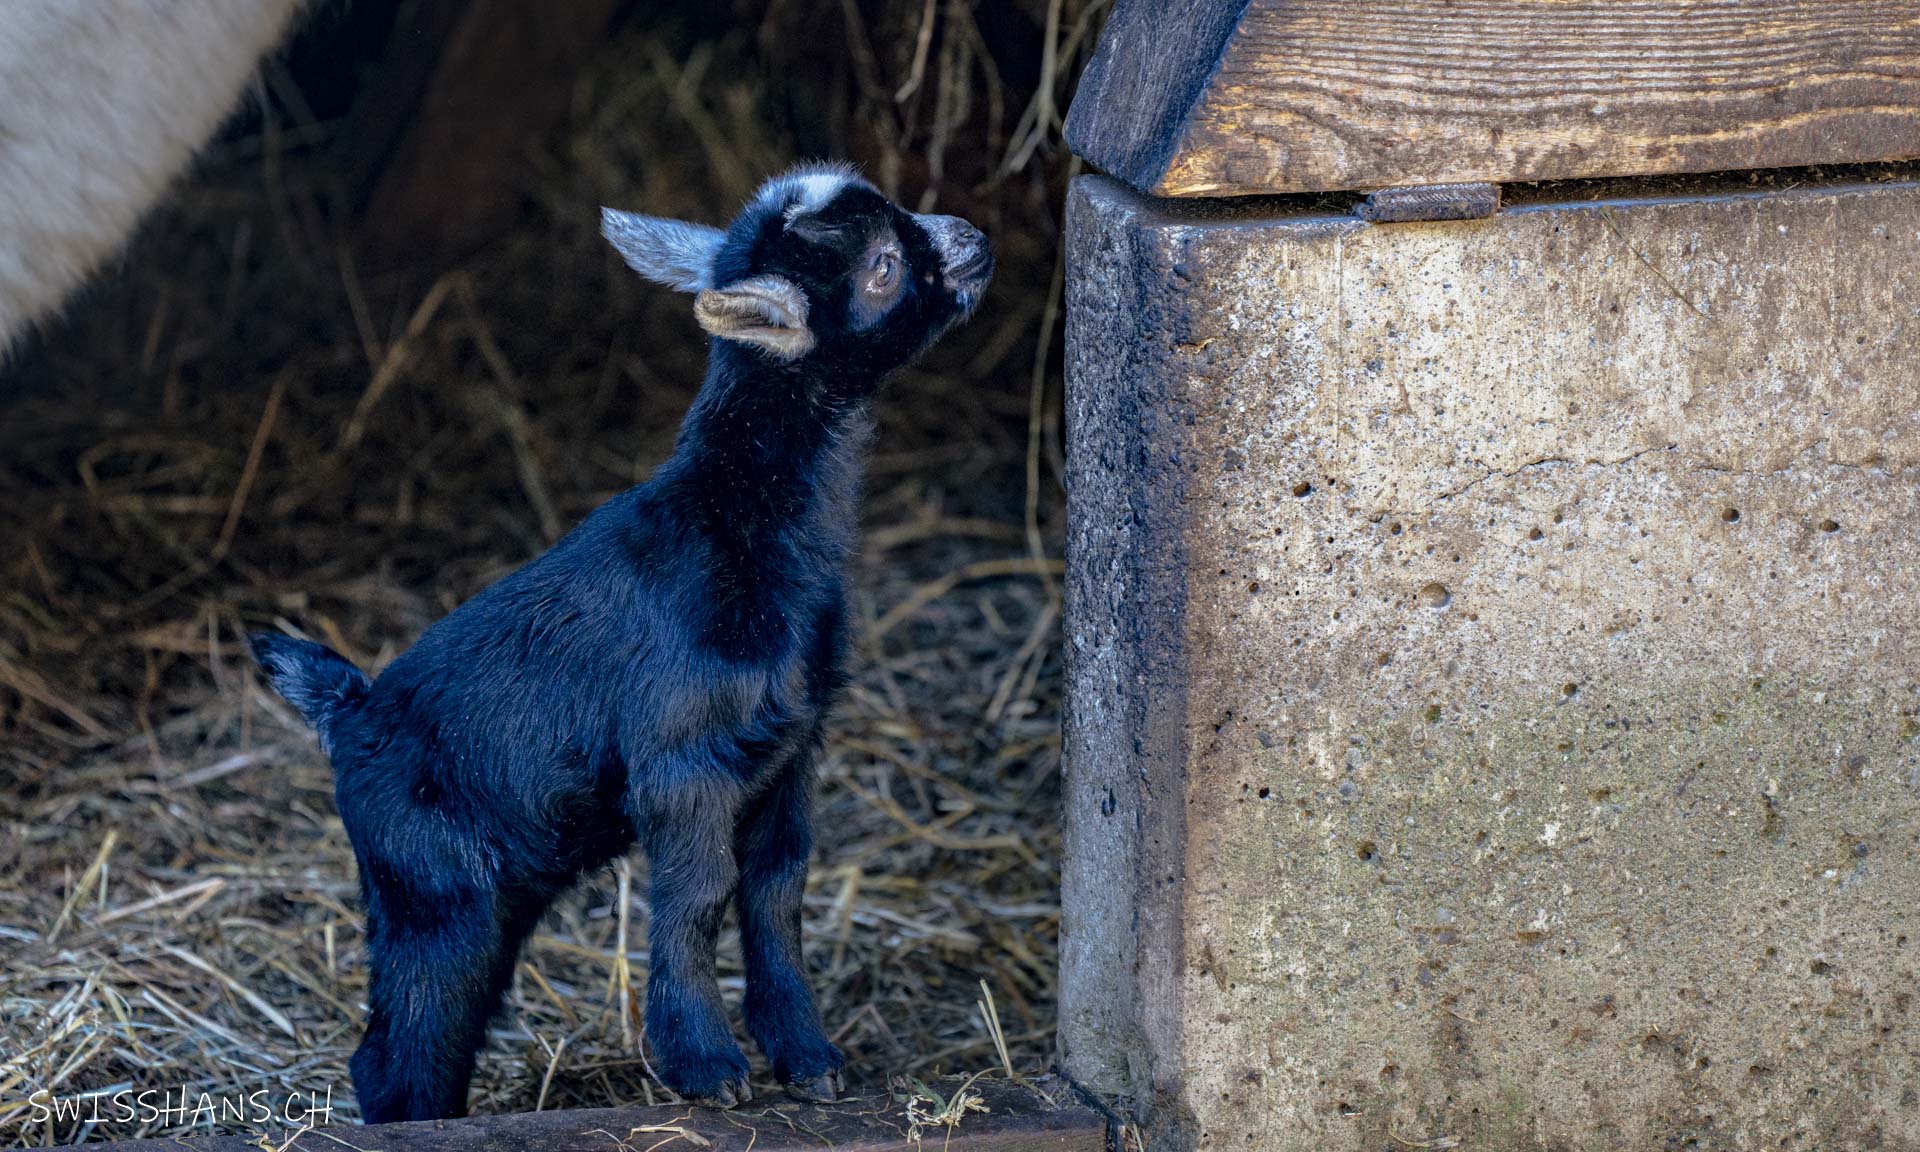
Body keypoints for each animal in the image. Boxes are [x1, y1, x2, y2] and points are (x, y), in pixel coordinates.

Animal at [251, 166, 990, 1121]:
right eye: (884, 267)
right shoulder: (681, 759)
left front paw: (809, 1058)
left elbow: (776, 894)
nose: (974, 238)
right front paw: (706, 1067)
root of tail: (348, 709)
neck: (741, 527)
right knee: (399, 1044)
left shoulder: (790, 749)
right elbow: (700, 898)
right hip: (430, 885)